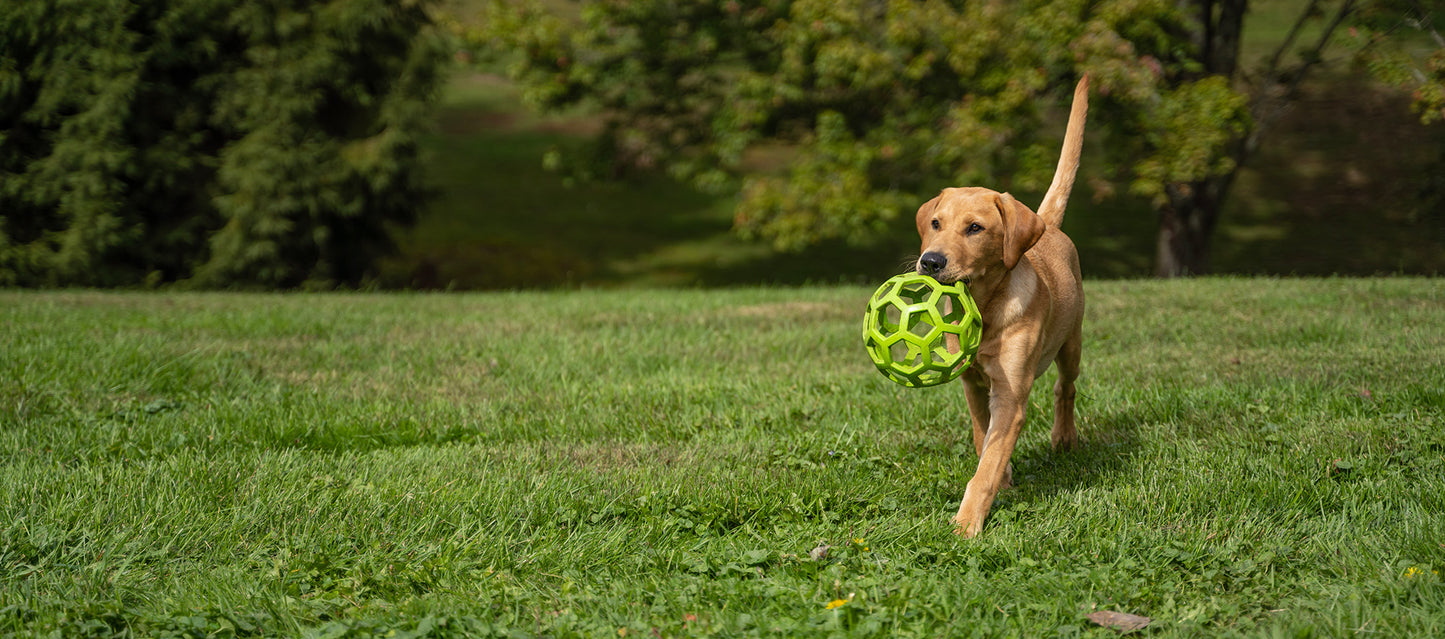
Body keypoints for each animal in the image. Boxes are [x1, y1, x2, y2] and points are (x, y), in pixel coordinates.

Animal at [919, 76, 1086, 537]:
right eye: (935, 223)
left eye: (975, 228)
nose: (930, 261)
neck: (984, 309)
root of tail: (1049, 226)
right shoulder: (972, 384)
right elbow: (984, 442)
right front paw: (1003, 476)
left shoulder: (1011, 395)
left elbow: (987, 466)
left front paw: (966, 524)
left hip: (1073, 342)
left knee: (1066, 387)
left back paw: (1064, 437)